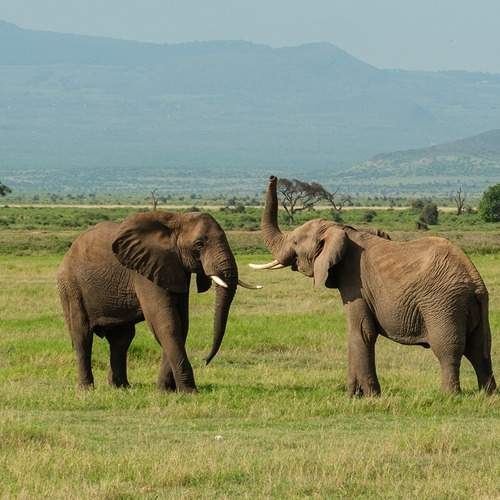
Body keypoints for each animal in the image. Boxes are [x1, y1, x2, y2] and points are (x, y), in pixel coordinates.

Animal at [57, 210, 260, 393]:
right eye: (199, 244)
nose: (205, 361)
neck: (176, 220)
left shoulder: (175, 268)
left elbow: (181, 323)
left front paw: (166, 390)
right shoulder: (144, 269)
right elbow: (166, 322)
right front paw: (189, 391)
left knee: (122, 339)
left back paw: (121, 387)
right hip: (70, 287)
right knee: (82, 335)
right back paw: (86, 389)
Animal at [250, 176, 497, 396]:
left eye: (294, 242)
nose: (273, 177)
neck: (344, 230)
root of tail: (475, 282)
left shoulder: (355, 282)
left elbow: (361, 331)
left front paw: (363, 396)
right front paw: (357, 395)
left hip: (443, 304)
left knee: (448, 350)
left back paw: (448, 396)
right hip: (468, 305)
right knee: (480, 350)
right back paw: (489, 395)